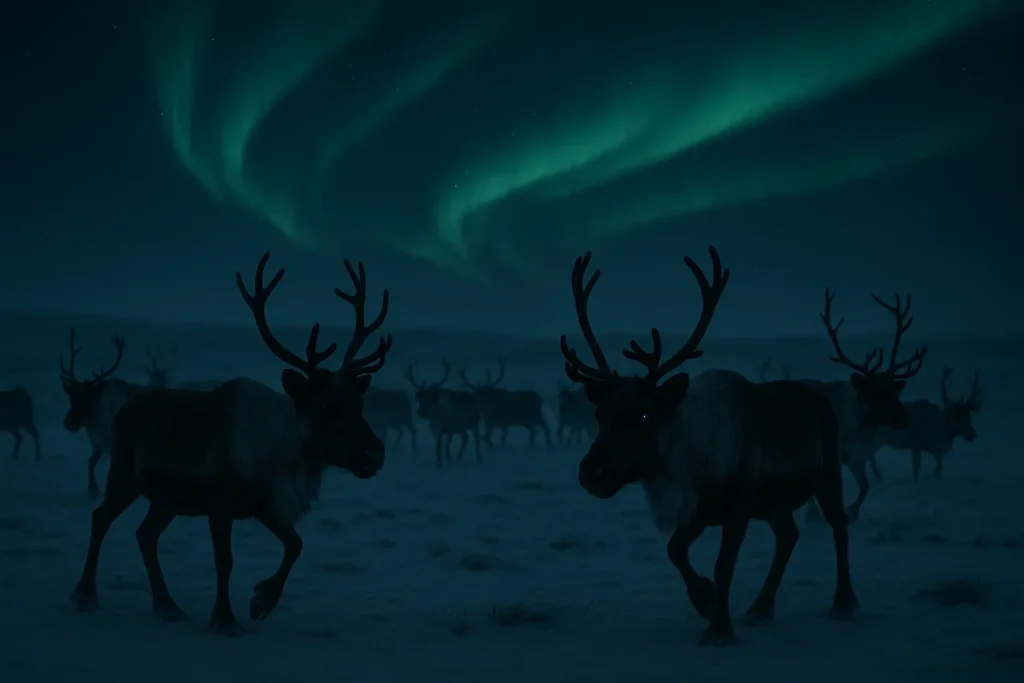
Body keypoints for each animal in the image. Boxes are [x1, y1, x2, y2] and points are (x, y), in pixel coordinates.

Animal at [60, 330, 152, 498]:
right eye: (71, 398)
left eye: (89, 398)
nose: (68, 423)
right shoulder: (98, 443)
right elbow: (90, 461)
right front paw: (93, 489)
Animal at [69, 252, 393, 636]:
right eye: (325, 405)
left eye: (359, 404)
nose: (375, 452)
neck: (280, 451)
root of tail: (123, 410)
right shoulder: (220, 503)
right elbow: (225, 561)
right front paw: (225, 619)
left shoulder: (263, 505)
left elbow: (295, 545)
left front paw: (261, 601)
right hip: (124, 477)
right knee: (101, 518)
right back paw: (85, 594)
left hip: (167, 499)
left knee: (145, 534)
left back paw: (167, 605)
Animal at [560, 247, 857, 647]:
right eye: (599, 414)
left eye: (644, 415)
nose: (591, 472)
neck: (686, 460)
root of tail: (820, 395)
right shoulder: (699, 511)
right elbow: (674, 550)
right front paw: (706, 599)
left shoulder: (737, 506)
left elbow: (724, 563)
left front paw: (719, 628)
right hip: (773, 503)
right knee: (788, 535)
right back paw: (760, 609)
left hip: (827, 474)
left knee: (838, 524)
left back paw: (844, 602)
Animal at [801, 289, 927, 521]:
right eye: (877, 394)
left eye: (895, 391)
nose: (906, 418)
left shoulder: (857, 457)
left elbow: (865, 487)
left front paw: (851, 511)